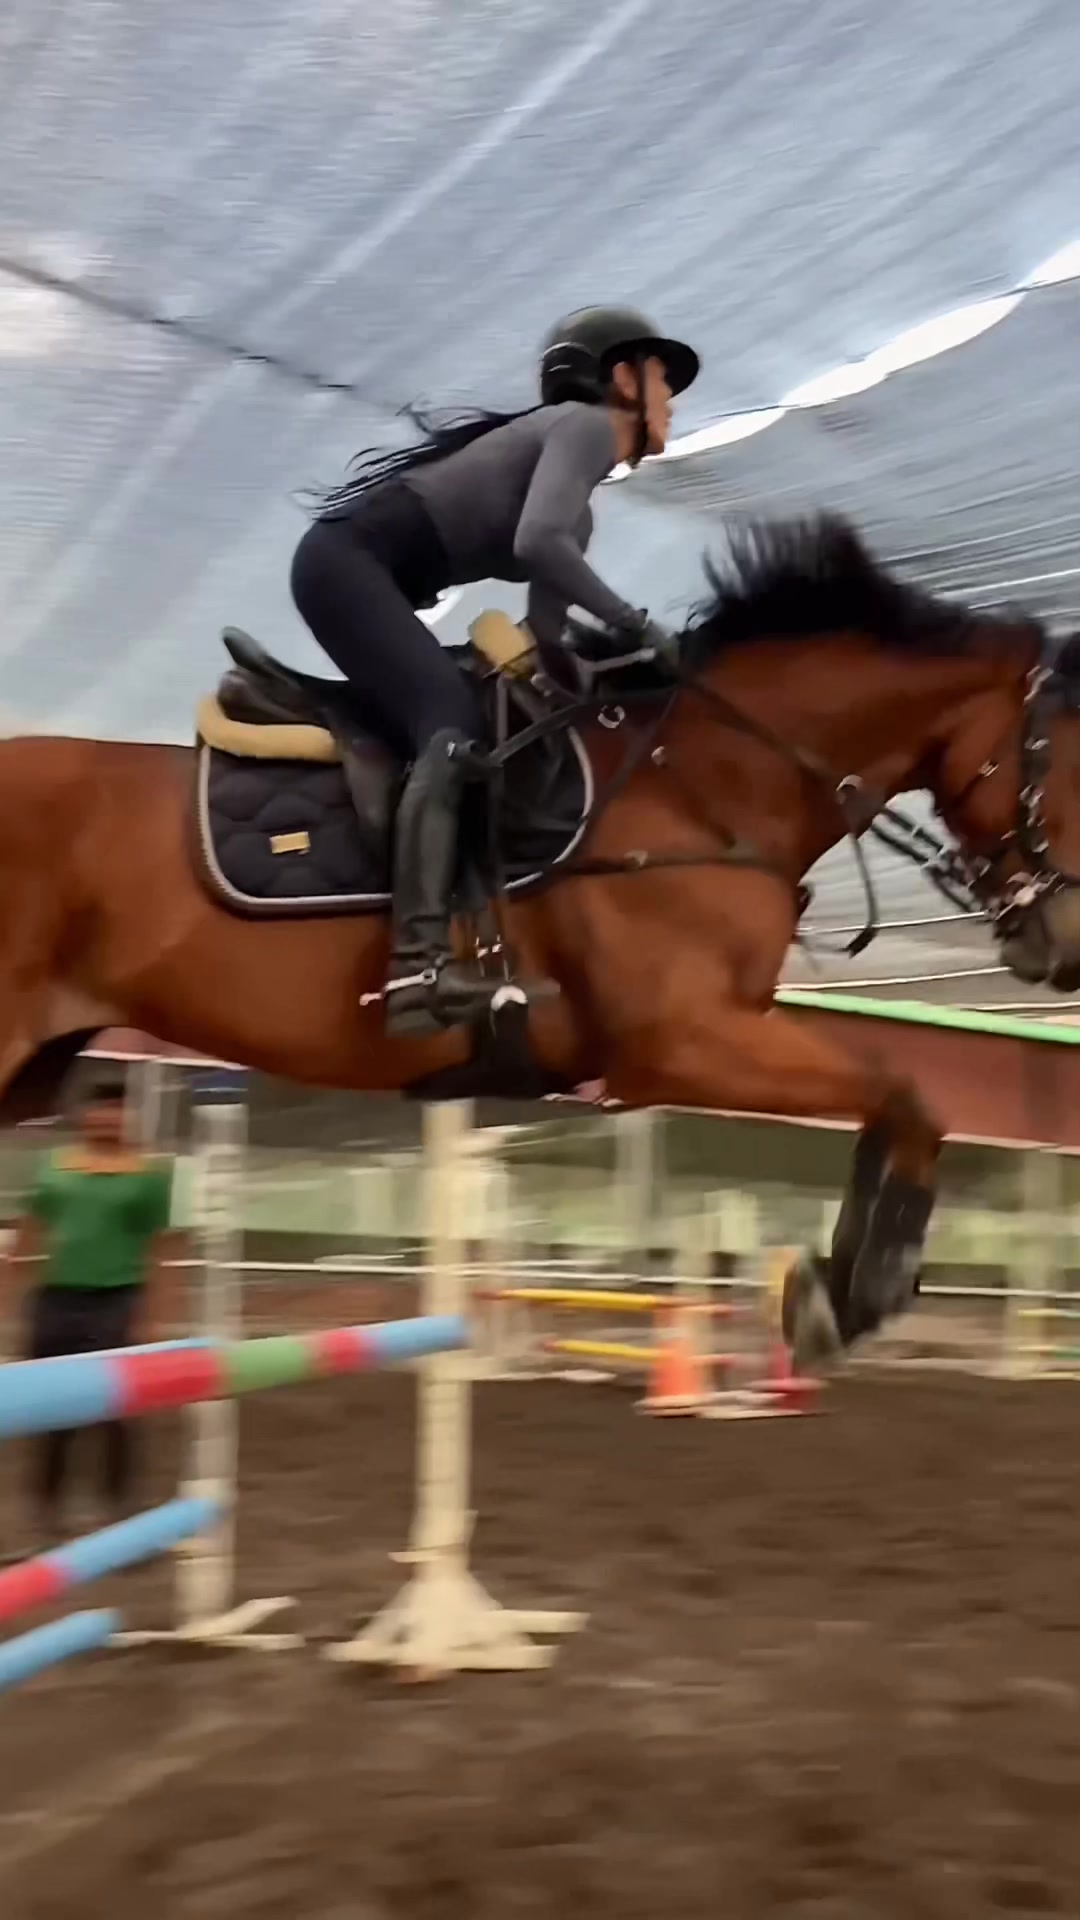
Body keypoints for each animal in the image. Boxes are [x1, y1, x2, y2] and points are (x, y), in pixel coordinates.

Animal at [4, 514, 1080, 1363]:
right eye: (1069, 757)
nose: (1061, 944)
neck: (704, 781)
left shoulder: (717, 1032)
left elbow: (897, 1101)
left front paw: (842, 1284)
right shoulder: (679, 1043)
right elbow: (905, 1089)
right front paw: (857, 1288)